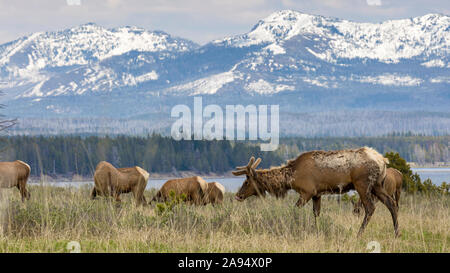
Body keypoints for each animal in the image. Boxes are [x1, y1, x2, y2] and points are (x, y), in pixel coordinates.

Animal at [234, 147, 400, 236]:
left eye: (246, 182)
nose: (238, 196)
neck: (290, 178)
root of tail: (383, 161)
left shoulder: (307, 192)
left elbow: (295, 210)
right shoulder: (317, 194)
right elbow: (316, 214)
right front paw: (317, 231)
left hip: (363, 184)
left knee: (370, 207)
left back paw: (359, 234)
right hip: (377, 185)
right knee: (391, 203)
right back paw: (397, 233)